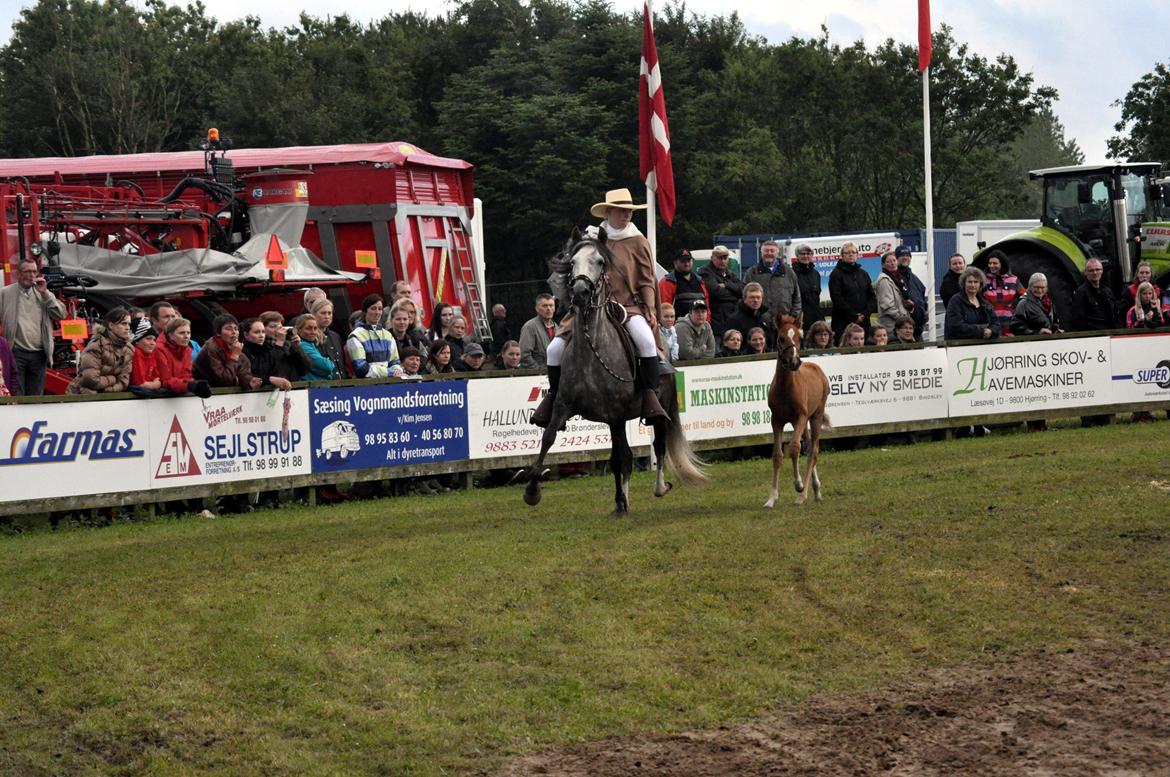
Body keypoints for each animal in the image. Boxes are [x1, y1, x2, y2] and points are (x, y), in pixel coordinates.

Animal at [519, 234, 702, 519]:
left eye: (600, 261)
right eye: (572, 261)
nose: (580, 293)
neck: (591, 353)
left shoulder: (614, 415)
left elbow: (619, 459)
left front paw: (620, 502)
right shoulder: (563, 406)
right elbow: (548, 437)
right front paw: (532, 489)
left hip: (658, 412)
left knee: (658, 446)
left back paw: (658, 488)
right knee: (628, 456)